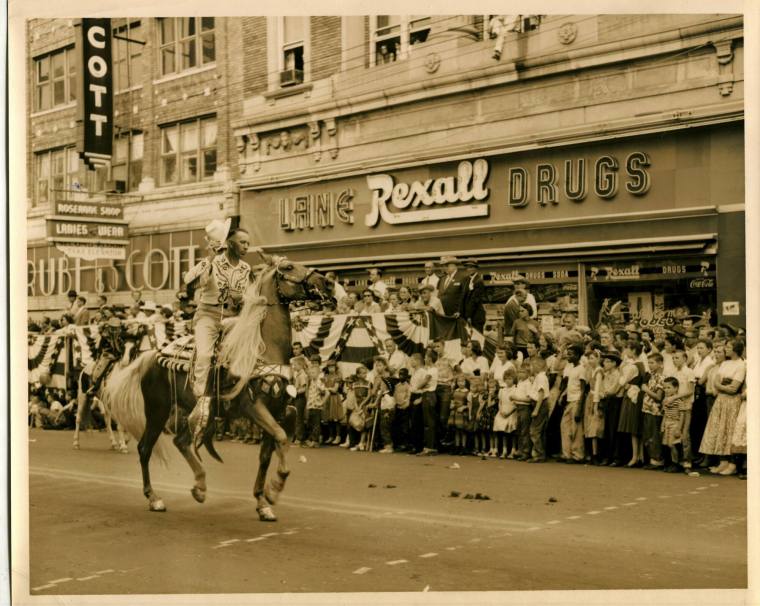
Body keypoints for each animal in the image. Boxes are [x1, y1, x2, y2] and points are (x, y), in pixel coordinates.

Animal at [102, 258, 328, 524]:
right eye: (289, 268)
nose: (324, 282)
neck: (262, 346)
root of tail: (151, 355)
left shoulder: (278, 410)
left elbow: (267, 454)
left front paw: (263, 503)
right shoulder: (253, 407)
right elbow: (282, 438)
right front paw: (275, 489)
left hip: (192, 410)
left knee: (180, 442)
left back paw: (199, 487)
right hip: (158, 411)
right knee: (145, 448)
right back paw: (154, 498)